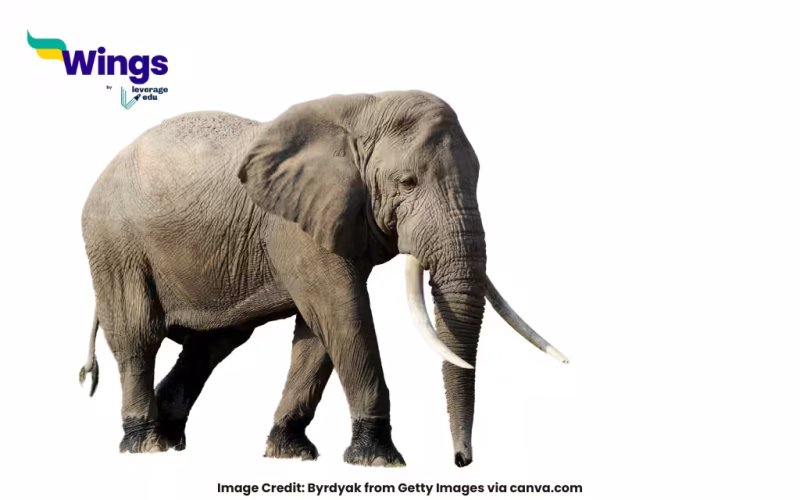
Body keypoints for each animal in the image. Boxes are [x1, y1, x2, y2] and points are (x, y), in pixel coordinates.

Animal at [78, 90, 568, 467]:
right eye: (407, 182)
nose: (461, 461)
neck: (364, 110)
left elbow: (319, 329)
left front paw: (289, 453)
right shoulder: (295, 224)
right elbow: (342, 310)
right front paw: (380, 461)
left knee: (213, 343)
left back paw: (170, 439)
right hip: (115, 243)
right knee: (138, 335)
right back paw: (145, 444)